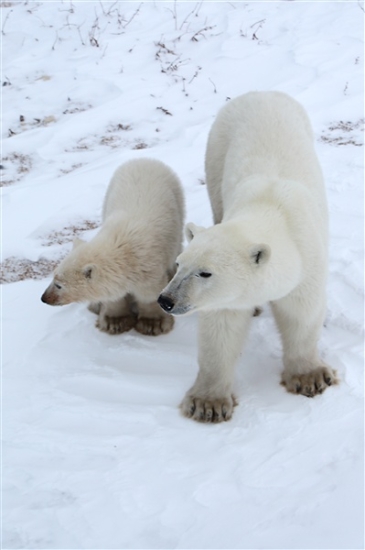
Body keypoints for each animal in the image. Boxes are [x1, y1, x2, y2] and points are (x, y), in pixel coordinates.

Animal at [158, 92, 336, 424]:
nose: (166, 300)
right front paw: (208, 404)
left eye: (205, 272)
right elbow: (222, 330)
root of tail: (261, 93)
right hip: (217, 150)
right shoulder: (226, 298)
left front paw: (311, 377)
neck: (271, 208)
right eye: (179, 265)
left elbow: (301, 314)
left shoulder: (307, 264)